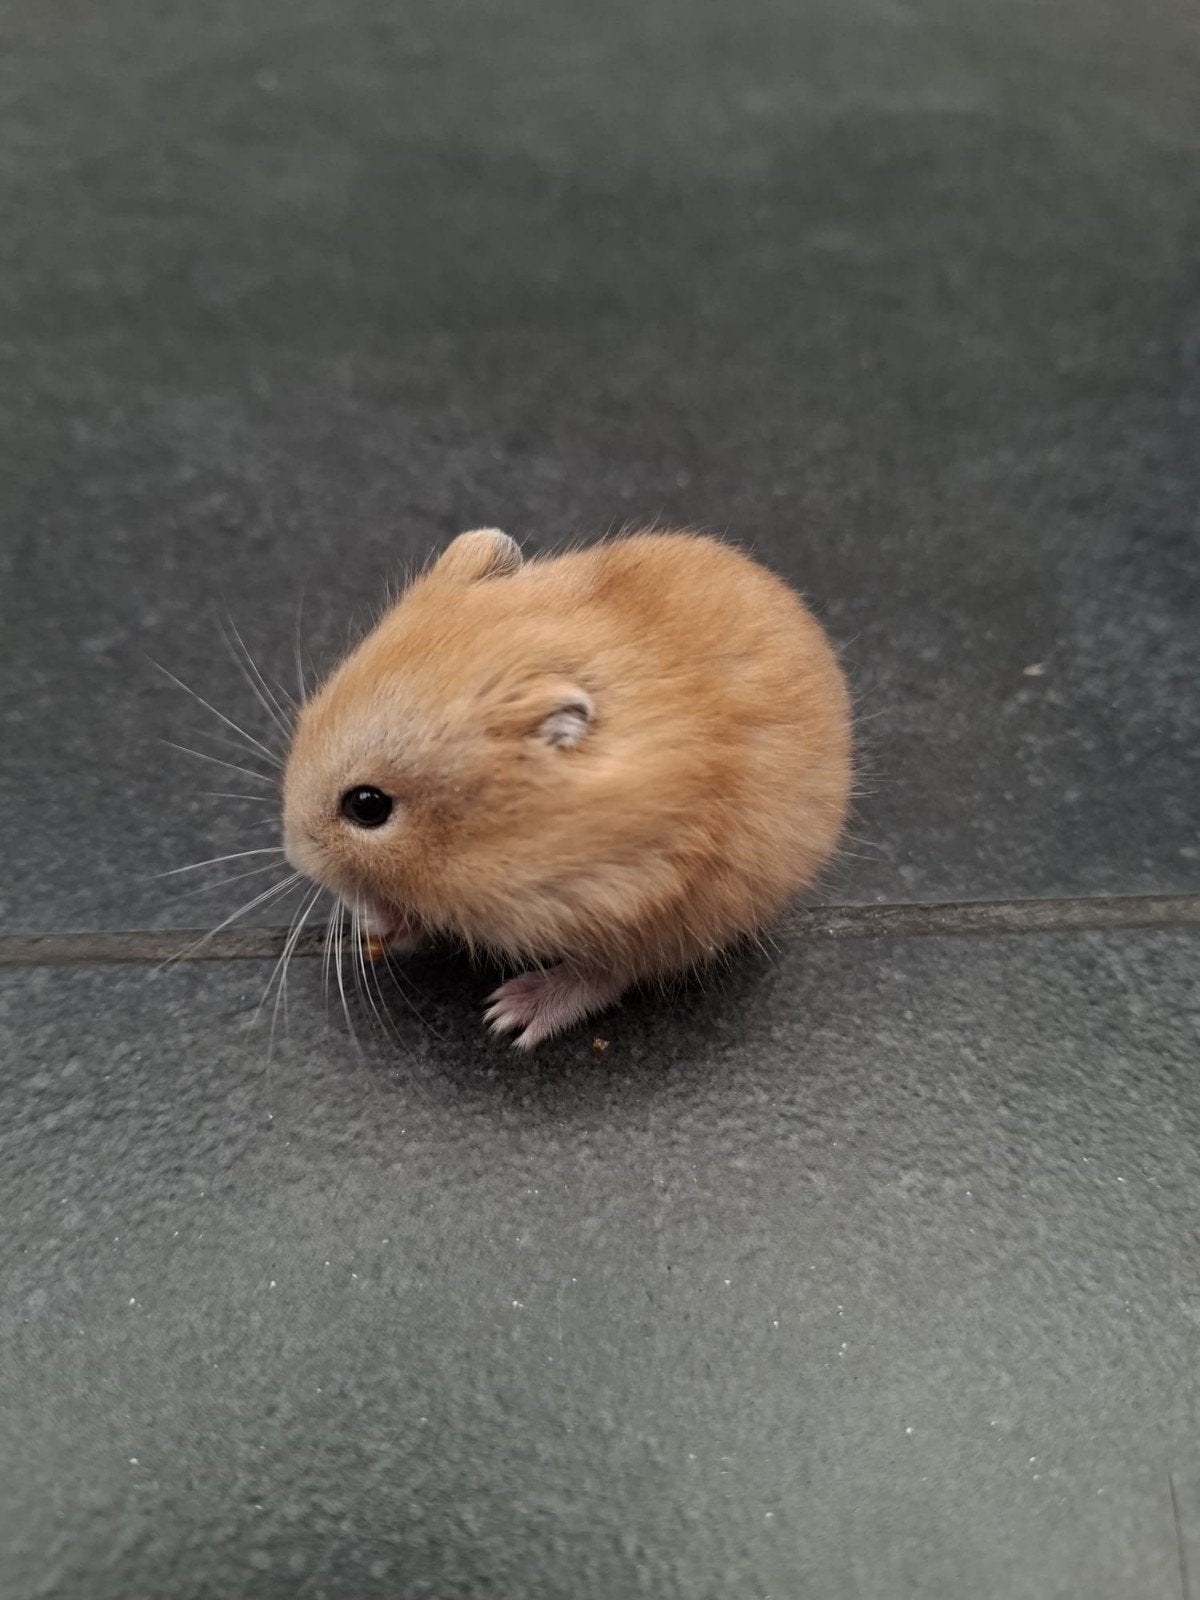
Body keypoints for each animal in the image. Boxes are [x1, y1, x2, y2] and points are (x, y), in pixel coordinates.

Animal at [282, 528, 852, 1048]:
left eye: (367, 806)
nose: (294, 853)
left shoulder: (630, 891)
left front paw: (500, 1018)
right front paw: (372, 923)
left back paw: (515, 1014)